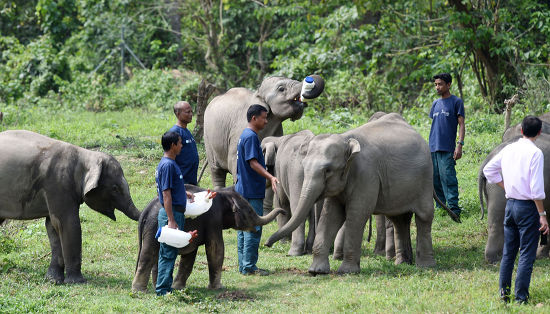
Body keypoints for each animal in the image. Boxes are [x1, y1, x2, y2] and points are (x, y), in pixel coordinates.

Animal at [0, 129, 142, 284]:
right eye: (115, 188)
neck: (85, 154)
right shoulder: (58, 183)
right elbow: (67, 223)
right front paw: (77, 282)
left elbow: (52, 226)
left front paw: (53, 280)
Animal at [132, 184, 282, 292]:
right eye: (250, 211)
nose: (284, 211)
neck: (223, 194)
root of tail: (145, 211)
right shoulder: (214, 219)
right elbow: (216, 248)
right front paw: (218, 288)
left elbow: (190, 254)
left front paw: (178, 287)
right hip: (154, 227)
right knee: (148, 255)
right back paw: (139, 290)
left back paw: (158, 287)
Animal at [266, 113, 442, 274]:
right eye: (304, 166)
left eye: (328, 170)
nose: (267, 244)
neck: (345, 140)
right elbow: (330, 215)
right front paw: (317, 271)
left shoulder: (367, 175)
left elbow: (357, 214)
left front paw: (347, 271)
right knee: (399, 219)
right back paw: (402, 263)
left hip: (425, 179)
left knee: (424, 217)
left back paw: (426, 266)